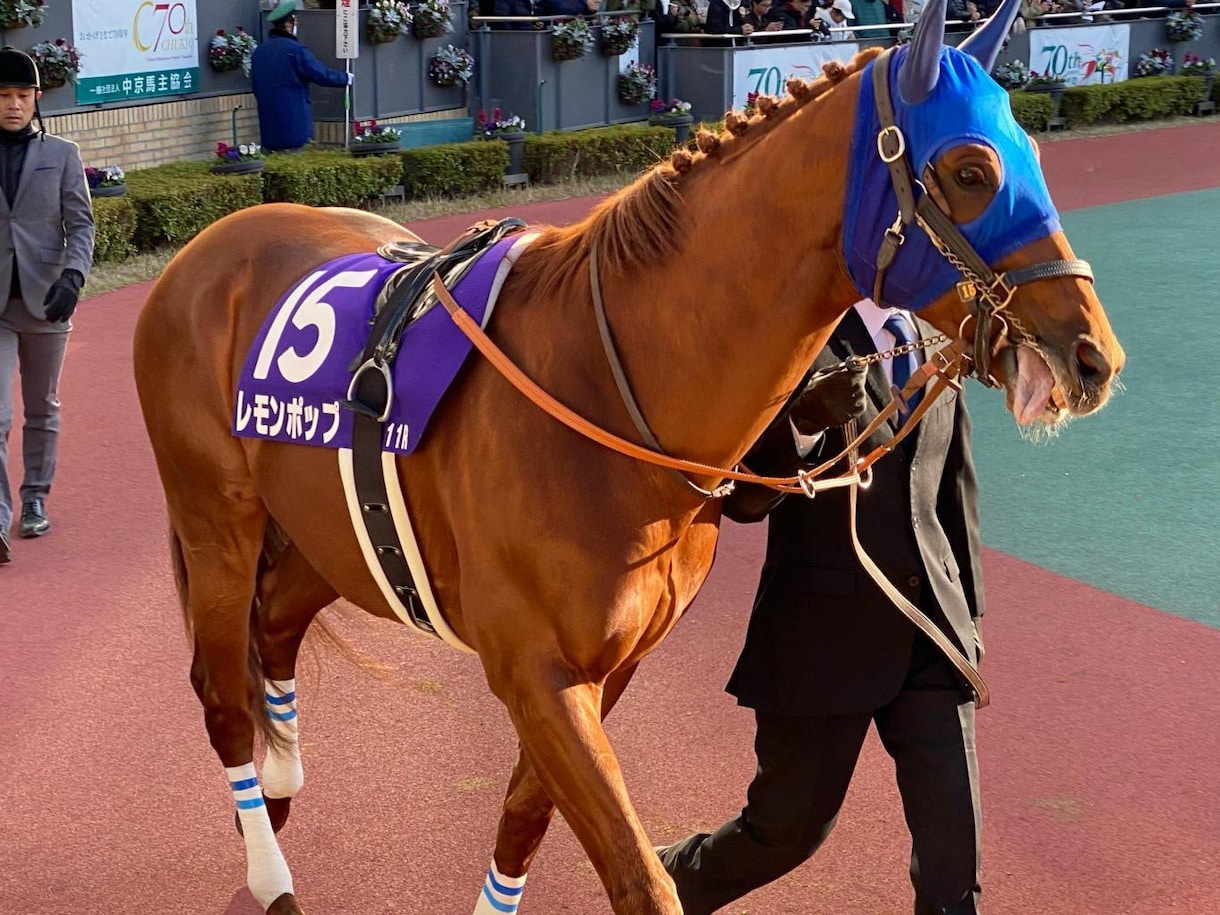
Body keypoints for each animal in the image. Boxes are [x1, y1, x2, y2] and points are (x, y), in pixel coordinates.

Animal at [132, 0, 1123, 909]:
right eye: (972, 169)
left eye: (1033, 154)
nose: (1092, 354)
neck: (604, 389)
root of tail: (209, 247)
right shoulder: (535, 670)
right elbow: (639, 876)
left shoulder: (611, 664)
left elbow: (526, 818)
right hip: (216, 520)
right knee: (222, 691)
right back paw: (269, 867)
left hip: (329, 532)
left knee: (274, 626)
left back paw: (279, 789)